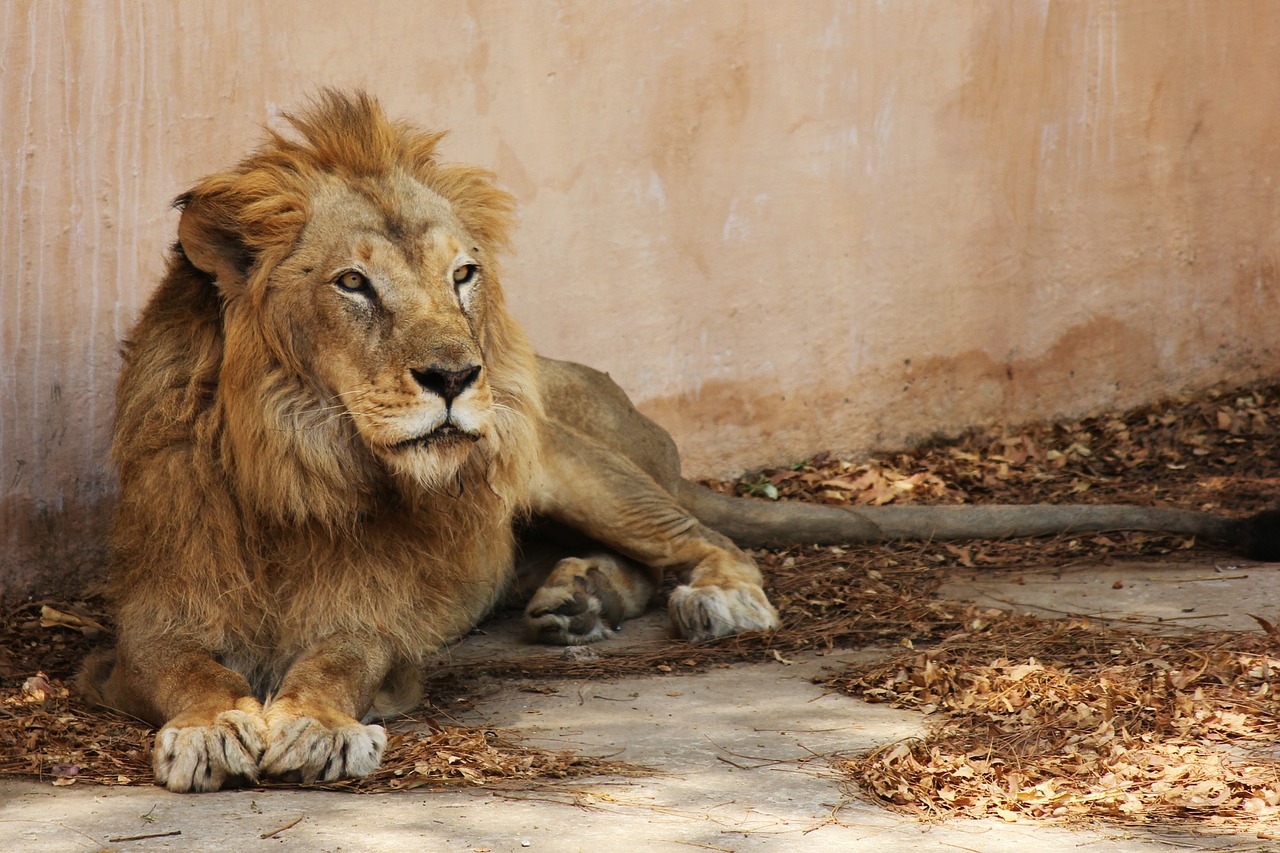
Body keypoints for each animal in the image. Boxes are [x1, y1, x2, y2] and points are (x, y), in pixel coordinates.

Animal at [85, 91, 1274, 788]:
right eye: (352, 284)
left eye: (461, 274)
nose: (457, 376)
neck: (305, 466)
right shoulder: (147, 620)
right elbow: (188, 667)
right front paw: (213, 726)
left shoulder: (382, 623)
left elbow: (338, 657)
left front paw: (319, 727)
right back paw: (572, 601)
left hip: (563, 455)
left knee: (700, 541)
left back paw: (710, 600)